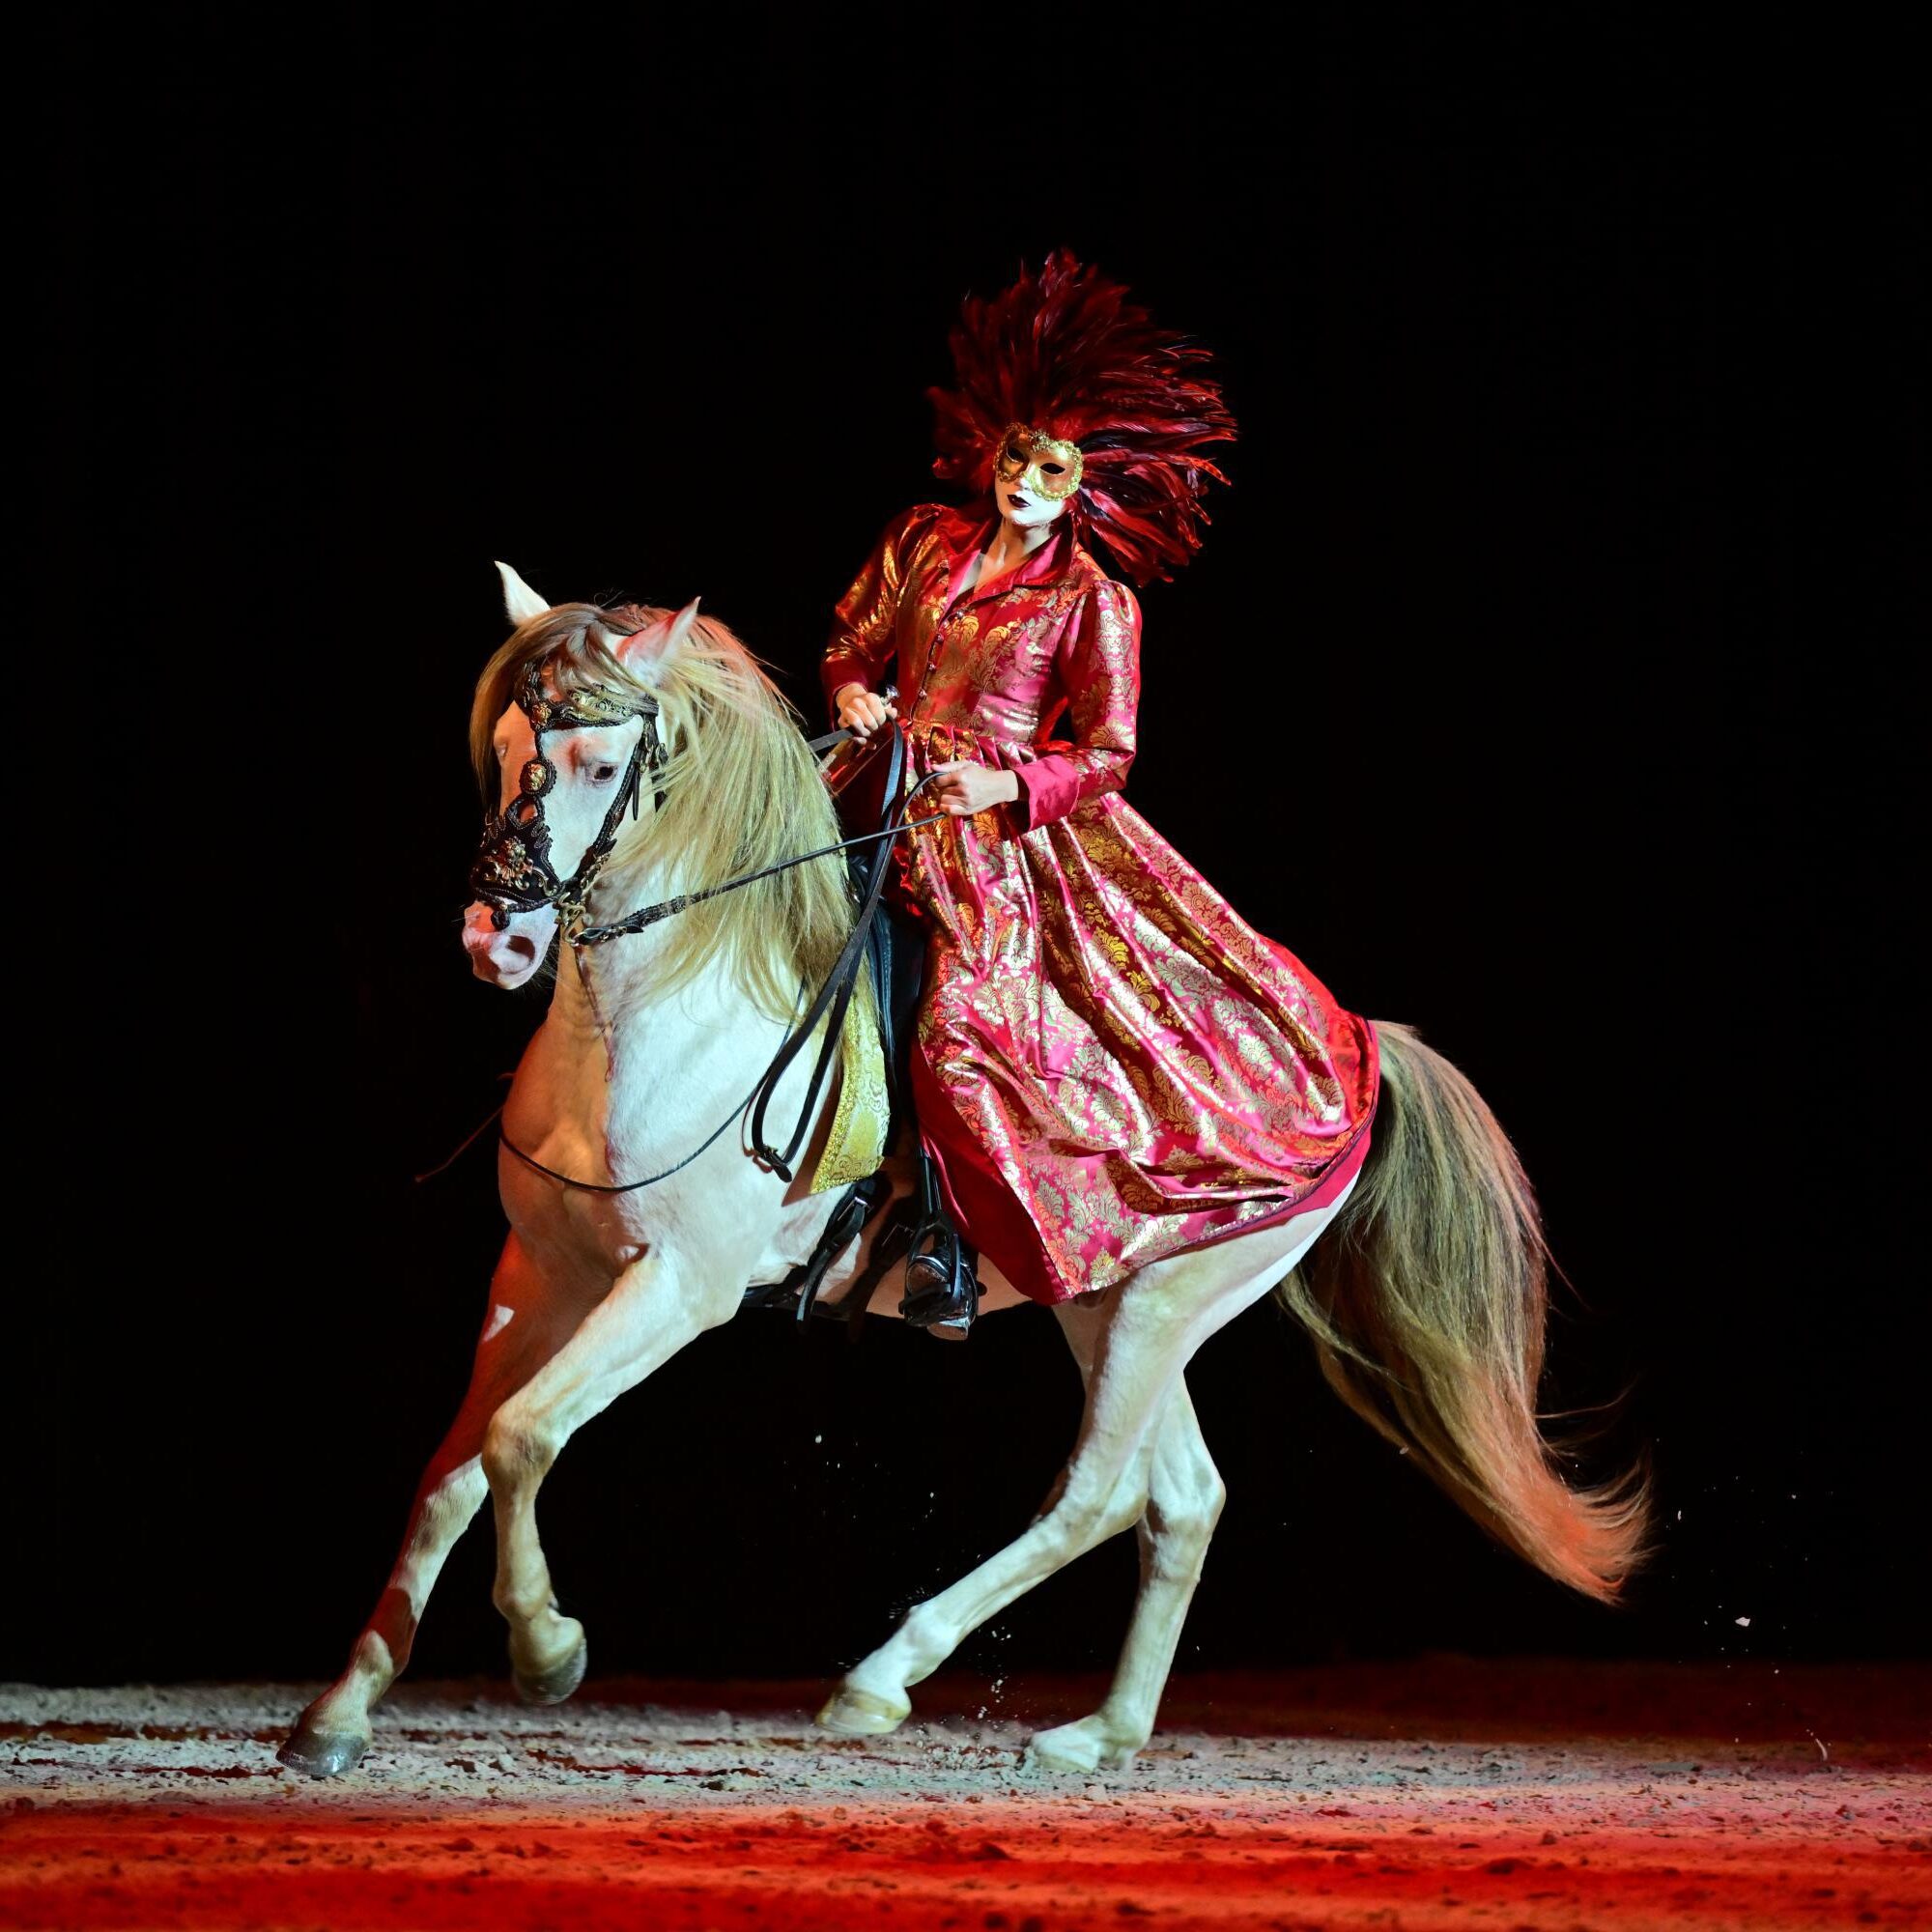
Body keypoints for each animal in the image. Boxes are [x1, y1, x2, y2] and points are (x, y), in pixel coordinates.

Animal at [279, 565, 1647, 1779]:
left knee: (1095, 1495)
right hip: (1109, 1299)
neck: (658, 1009)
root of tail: (1356, 1050)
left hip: (1162, 1301)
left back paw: (883, 1677)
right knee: (1180, 1498)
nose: (496, 935)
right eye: (509, 740)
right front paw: (337, 1714)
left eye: (602, 766)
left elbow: (521, 1437)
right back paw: (1095, 1736)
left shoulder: (678, 1283)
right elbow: (453, 1470)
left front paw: (548, 1648)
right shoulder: (541, 1270)